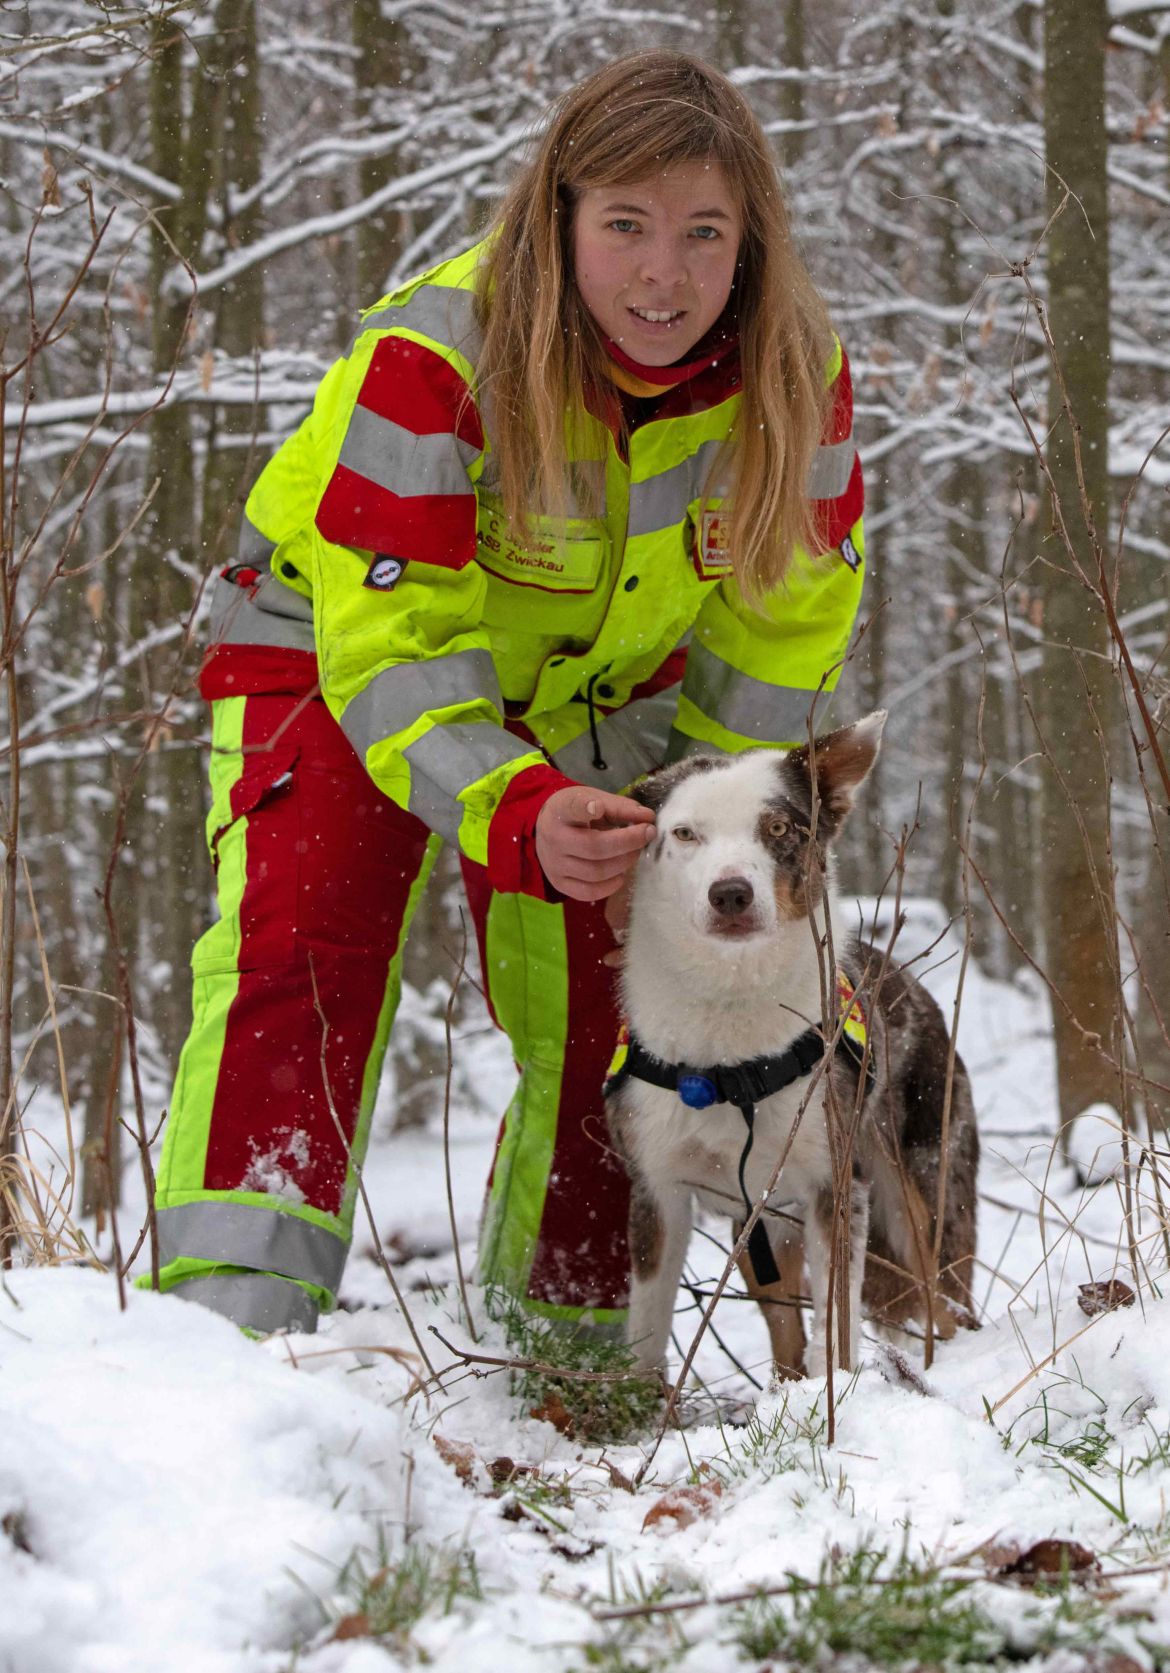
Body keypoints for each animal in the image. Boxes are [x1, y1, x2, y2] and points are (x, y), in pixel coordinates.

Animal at [602, 719, 977, 1385]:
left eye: (776, 829)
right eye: (685, 833)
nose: (730, 893)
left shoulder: (837, 1186)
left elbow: (838, 1322)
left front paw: (842, 1393)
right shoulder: (655, 1192)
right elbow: (647, 1334)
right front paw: (639, 1407)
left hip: (916, 1193)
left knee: (940, 1301)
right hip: (763, 1229)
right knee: (786, 1338)